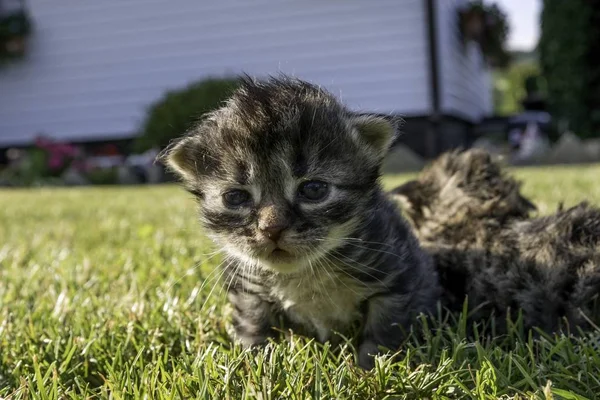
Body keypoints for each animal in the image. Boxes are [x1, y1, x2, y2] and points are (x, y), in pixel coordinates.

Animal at [159, 75, 440, 368]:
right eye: (235, 197)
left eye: (313, 189)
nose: (272, 229)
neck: (303, 273)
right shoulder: (248, 289)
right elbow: (253, 326)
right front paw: (253, 364)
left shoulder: (396, 277)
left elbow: (381, 334)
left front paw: (369, 369)